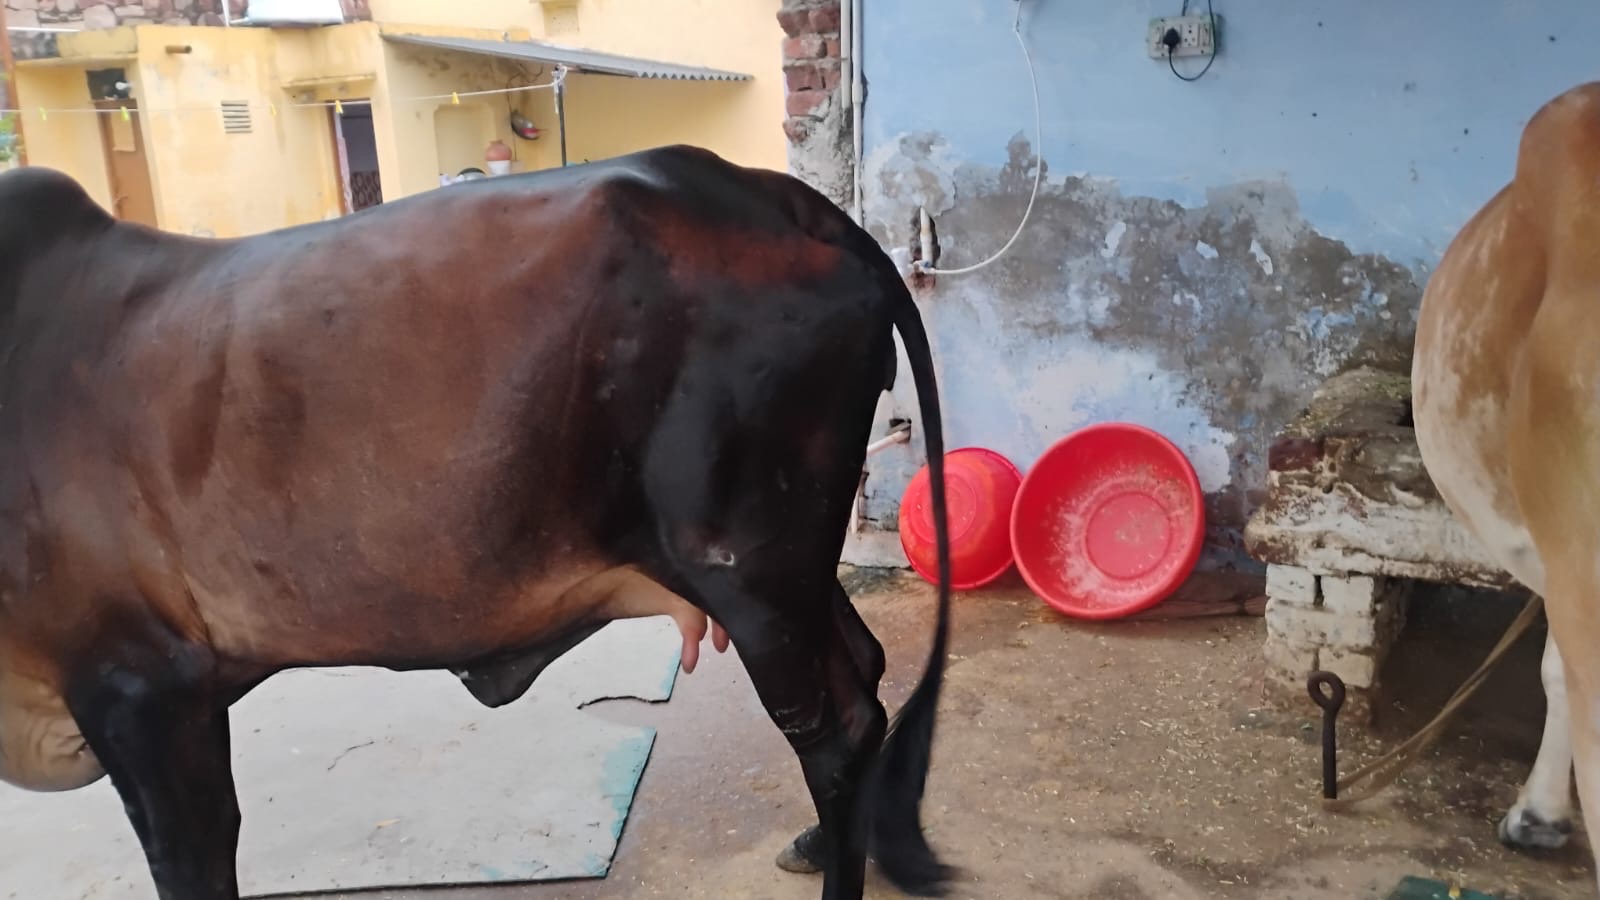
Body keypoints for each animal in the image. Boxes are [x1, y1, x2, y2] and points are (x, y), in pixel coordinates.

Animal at [0, 144, 956, 900]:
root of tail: (770, 193)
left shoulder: (144, 686)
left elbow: (191, 864)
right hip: (783, 570)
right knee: (865, 673)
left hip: (752, 570)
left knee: (837, 731)